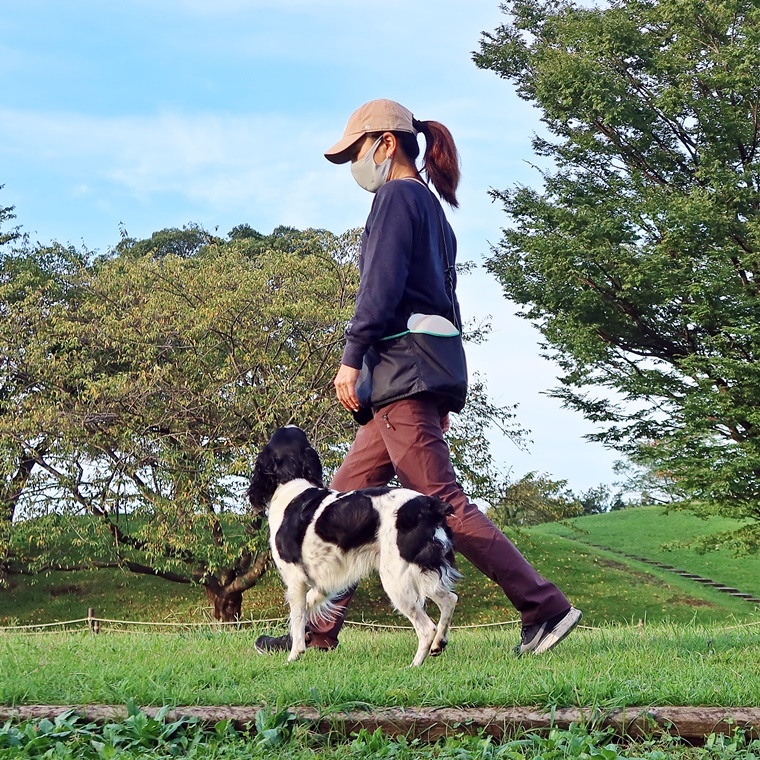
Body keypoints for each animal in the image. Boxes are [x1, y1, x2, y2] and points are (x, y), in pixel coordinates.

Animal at [248, 426, 459, 667]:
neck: (294, 484)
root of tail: (431, 505)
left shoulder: (295, 579)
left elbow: (298, 617)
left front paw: (293, 656)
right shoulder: (323, 582)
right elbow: (302, 613)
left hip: (397, 579)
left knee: (426, 628)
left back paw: (413, 666)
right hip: (421, 571)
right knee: (450, 600)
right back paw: (439, 644)